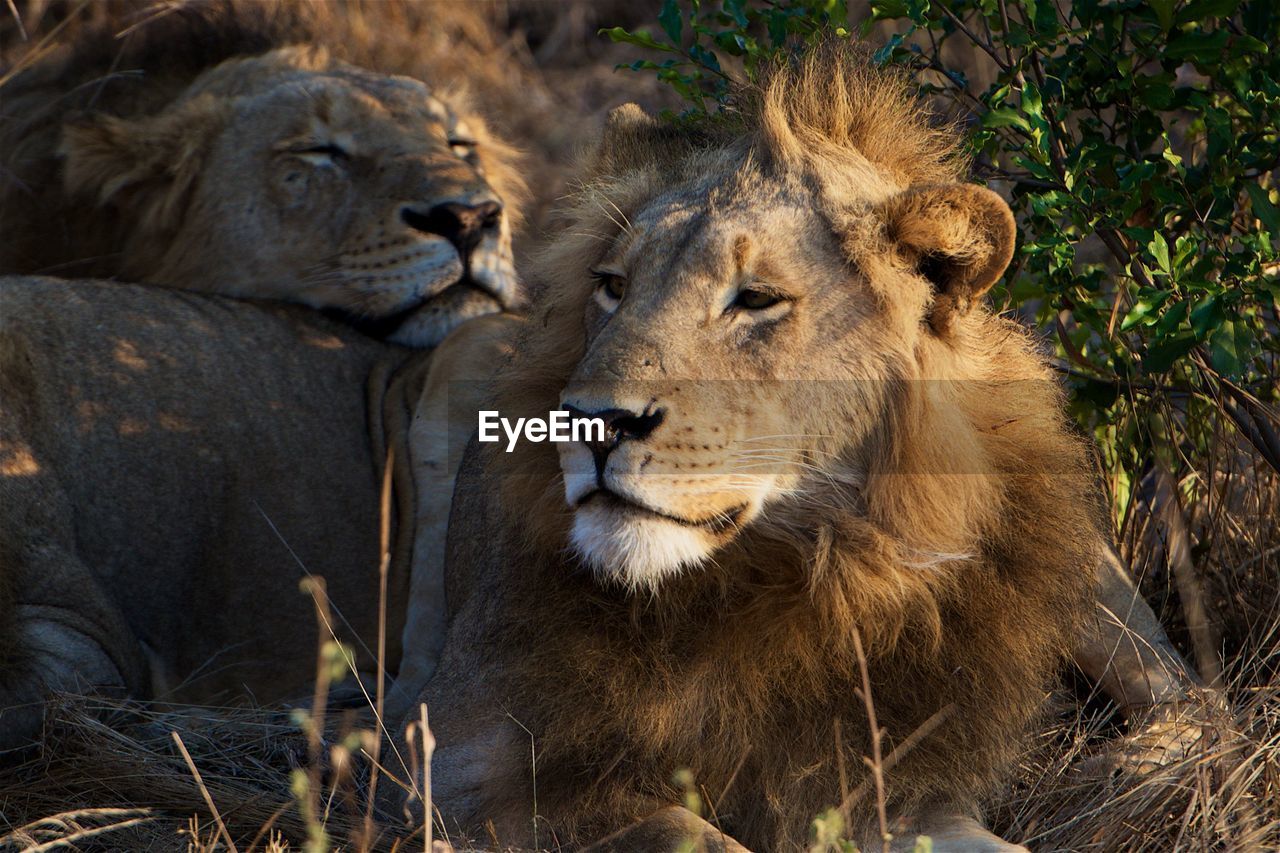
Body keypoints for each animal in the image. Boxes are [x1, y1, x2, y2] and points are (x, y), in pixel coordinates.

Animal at [396, 48, 1198, 850]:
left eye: (755, 299)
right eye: (613, 287)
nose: (592, 422)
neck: (801, 563)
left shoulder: (895, 788)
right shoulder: (444, 766)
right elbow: (685, 828)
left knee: (1190, 695)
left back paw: (1133, 768)